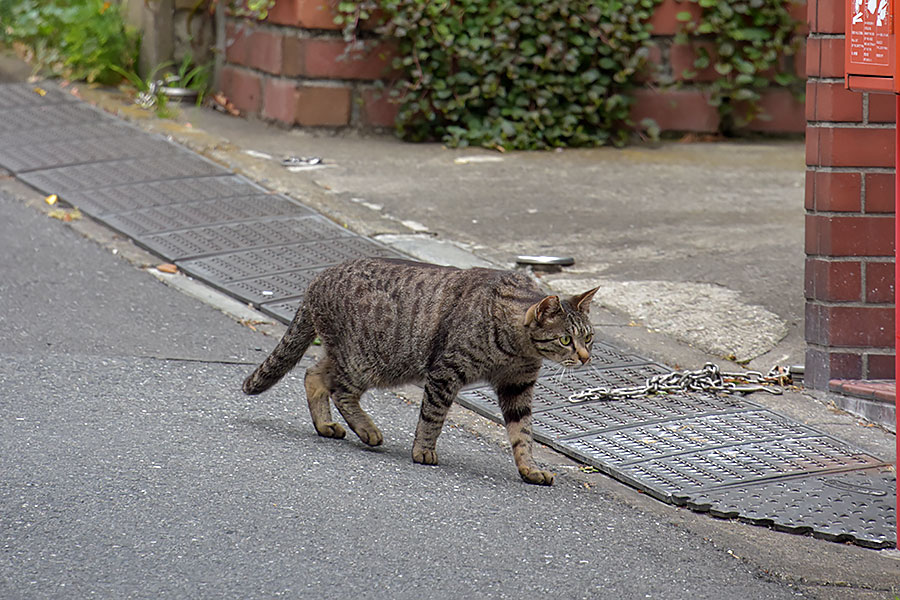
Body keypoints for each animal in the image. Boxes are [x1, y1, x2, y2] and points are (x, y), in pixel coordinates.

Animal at [243, 256, 600, 482]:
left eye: (588, 337)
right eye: (566, 339)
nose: (585, 358)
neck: (517, 350)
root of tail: (319, 277)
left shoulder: (518, 386)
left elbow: (522, 432)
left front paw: (529, 469)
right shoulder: (446, 372)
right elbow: (433, 417)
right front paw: (423, 451)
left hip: (349, 357)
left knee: (313, 375)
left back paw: (326, 426)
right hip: (365, 362)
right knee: (340, 390)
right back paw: (367, 430)